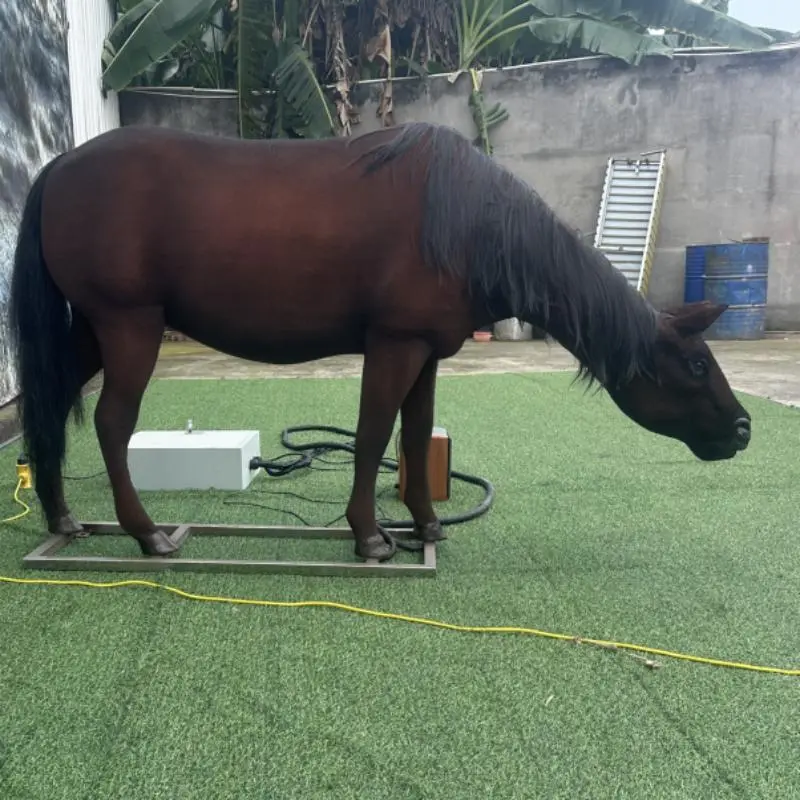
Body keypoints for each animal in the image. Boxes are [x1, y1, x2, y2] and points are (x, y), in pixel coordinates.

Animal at [7, 121, 751, 563]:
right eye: (694, 363)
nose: (743, 430)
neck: (468, 223)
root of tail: (61, 165)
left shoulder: (426, 351)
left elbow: (414, 434)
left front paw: (423, 524)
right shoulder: (393, 344)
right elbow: (371, 434)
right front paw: (369, 535)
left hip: (95, 330)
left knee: (50, 407)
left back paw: (64, 519)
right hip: (129, 324)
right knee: (112, 423)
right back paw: (147, 533)